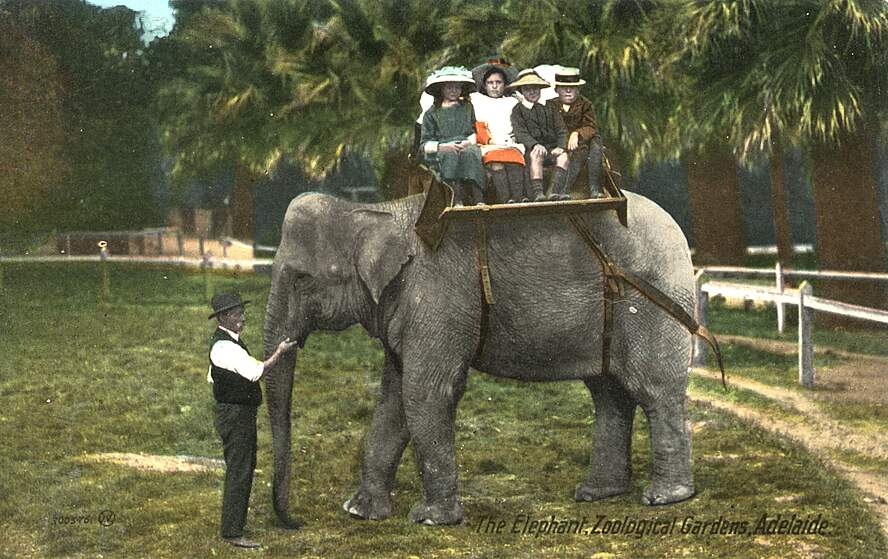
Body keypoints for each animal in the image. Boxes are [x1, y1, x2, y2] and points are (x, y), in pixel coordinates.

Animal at [263, 190, 697, 527]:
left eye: (301, 279)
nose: (294, 521)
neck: (372, 210)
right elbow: (394, 397)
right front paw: (359, 512)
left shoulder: (435, 300)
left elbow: (425, 393)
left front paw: (431, 520)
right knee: (609, 392)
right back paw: (596, 492)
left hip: (651, 303)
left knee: (654, 390)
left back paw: (665, 497)